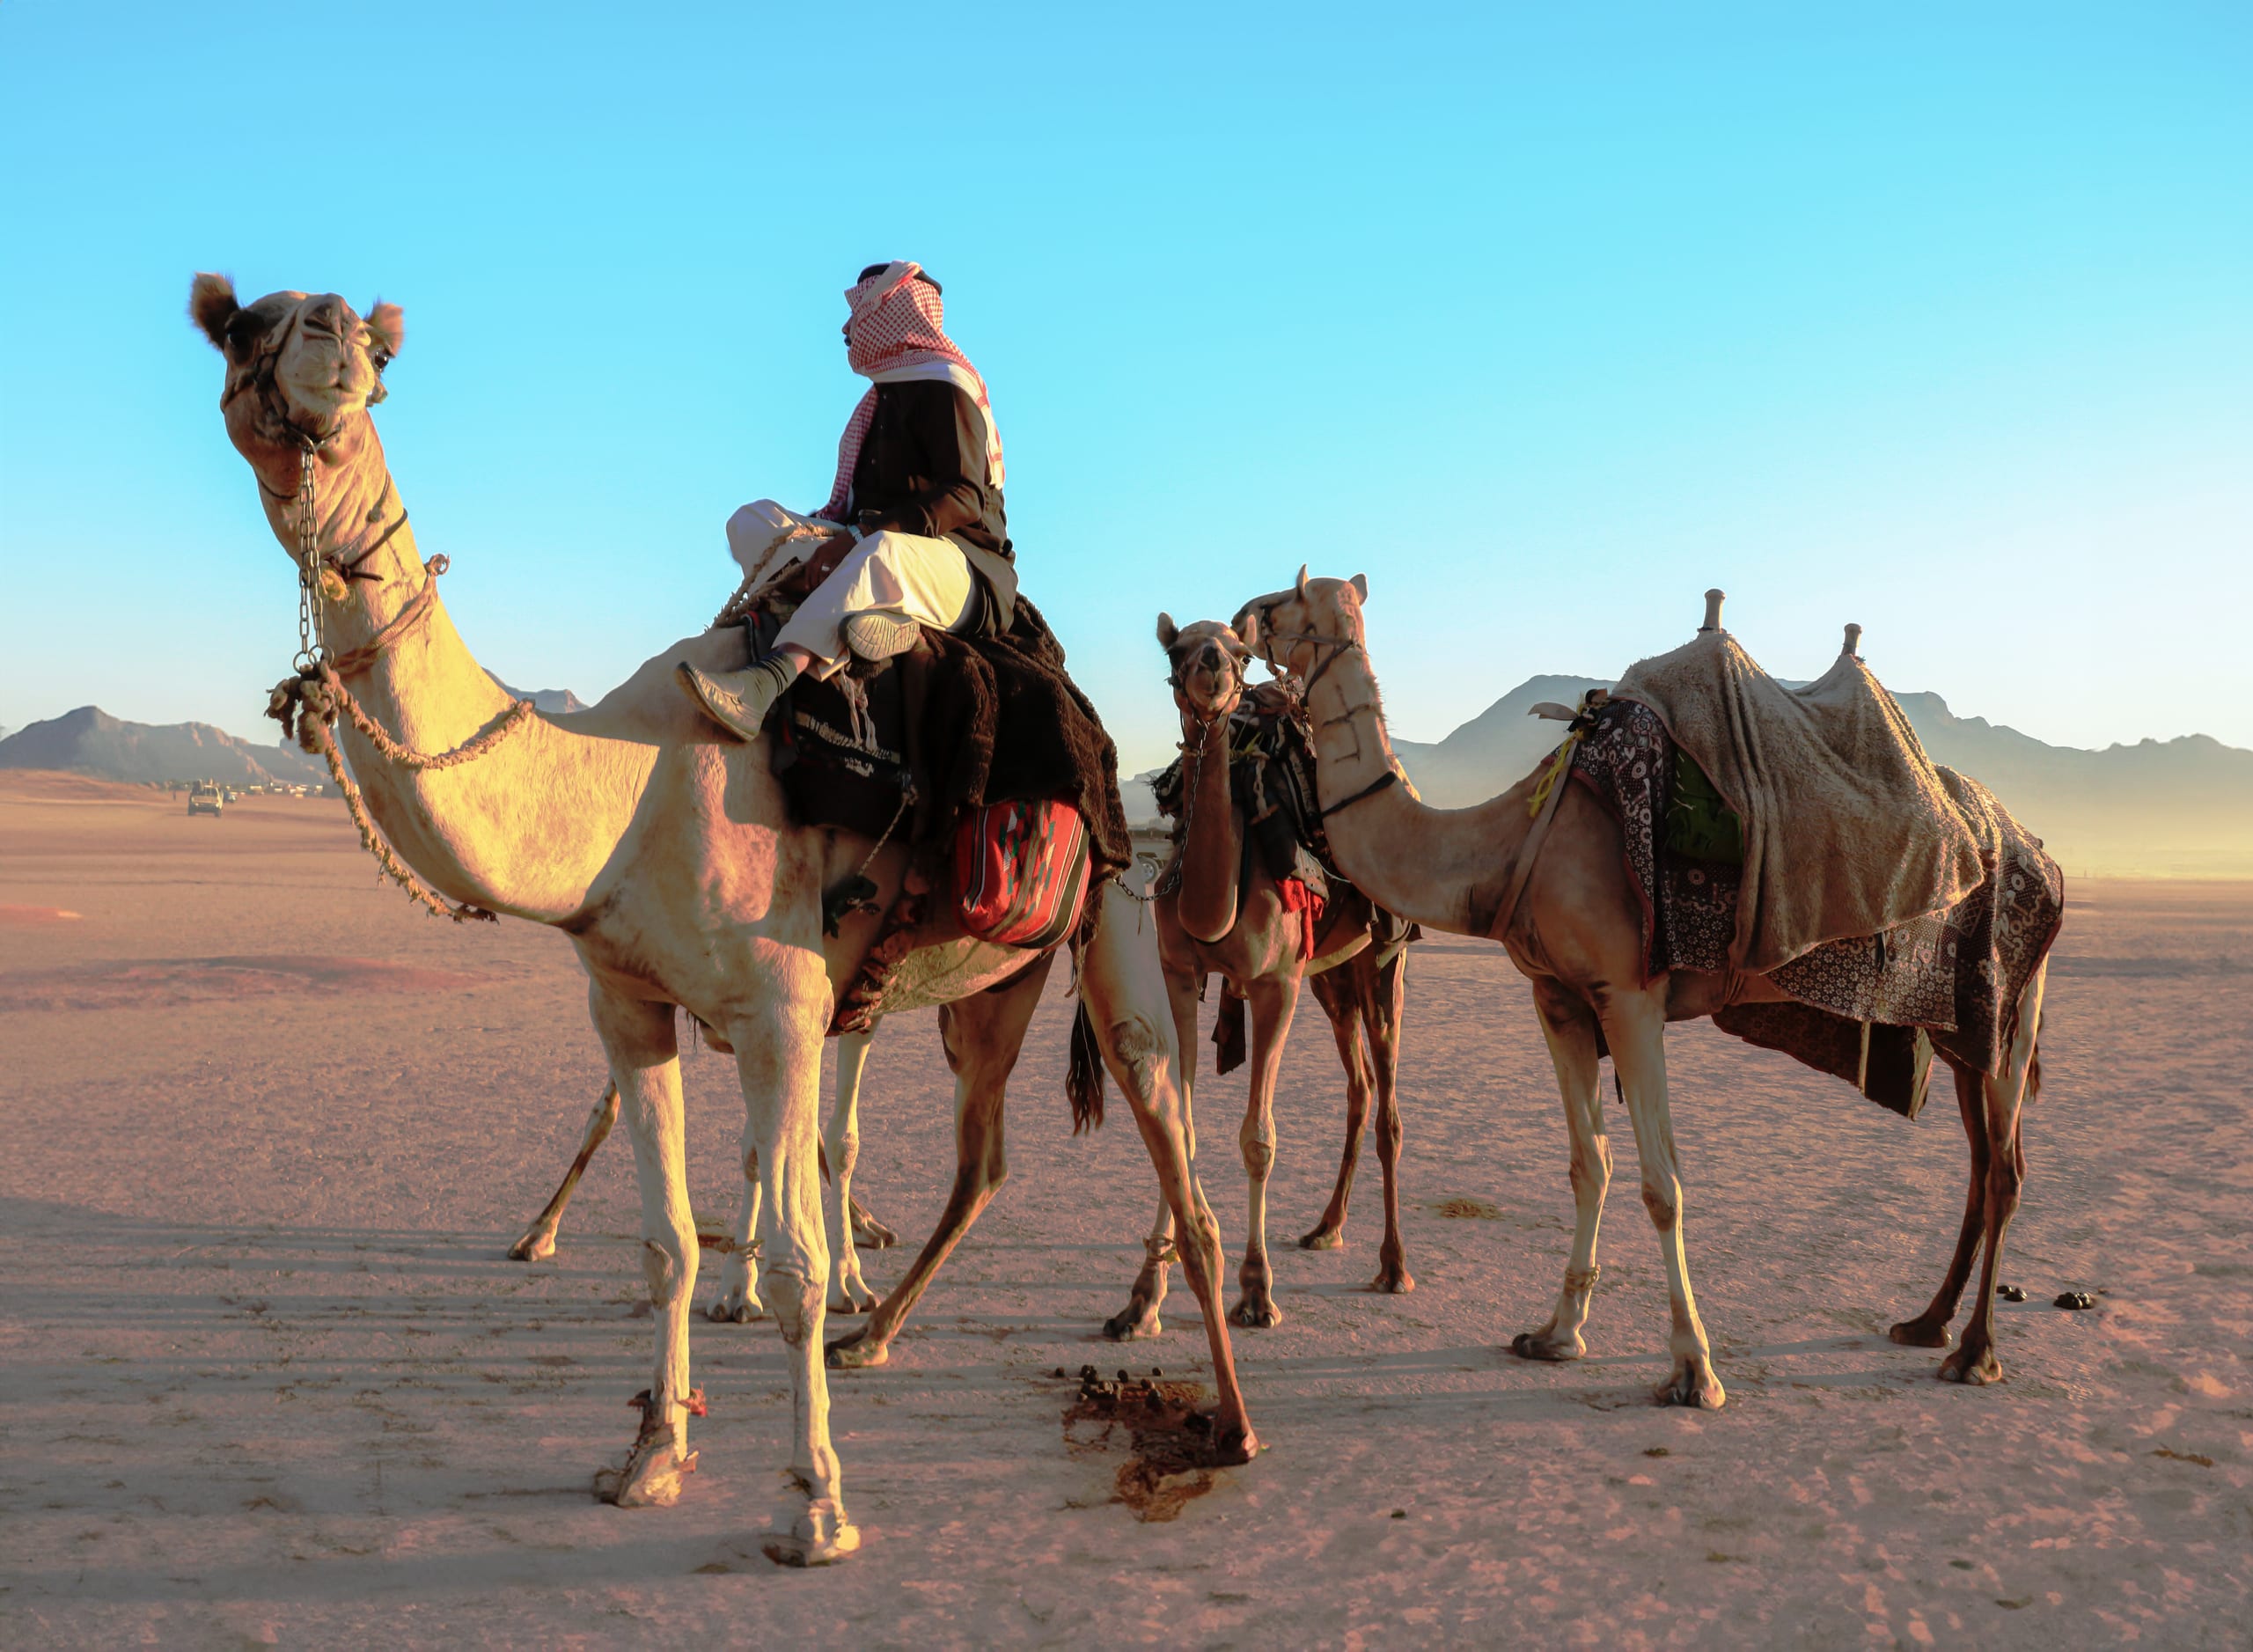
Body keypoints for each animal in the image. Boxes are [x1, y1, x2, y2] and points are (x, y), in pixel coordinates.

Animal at [189, 275, 1258, 1565]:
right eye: (237, 329)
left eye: (368, 349)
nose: (317, 332)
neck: (626, 792)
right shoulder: (631, 1005)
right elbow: (665, 1246)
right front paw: (650, 1458)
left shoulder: (781, 1011)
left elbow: (793, 1260)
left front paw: (817, 1508)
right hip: (994, 986)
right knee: (986, 1158)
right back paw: (878, 1334)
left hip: (1125, 931)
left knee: (1182, 1169)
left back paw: (1232, 1422)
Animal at [1105, 614, 1412, 1338]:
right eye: (1175, 650)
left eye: (1243, 654)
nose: (1213, 669)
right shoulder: (1179, 973)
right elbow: (1181, 1127)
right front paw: (1143, 1296)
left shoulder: (1277, 983)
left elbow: (1258, 1139)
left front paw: (1255, 1289)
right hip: (1332, 979)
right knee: (1359, 1089)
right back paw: (1326, 1227)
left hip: (1382, 960)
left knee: (1387, 1106)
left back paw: (1392, 1266)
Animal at [1234, 572, 2050, 1408]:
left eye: (1297, 594)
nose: (1241, 620)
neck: (1505, 845)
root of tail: (2035, 850)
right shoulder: (1558, 996)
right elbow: (1588, 1163)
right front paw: (1556, 1333)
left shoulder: (1630, 996)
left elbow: (1664, 1183)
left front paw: (1694, 1368)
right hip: (1958, 1032)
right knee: (1983, 1161)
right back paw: (1928, 1324)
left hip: (2011, 1005)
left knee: (2006, 1171)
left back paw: (1976, 1351)